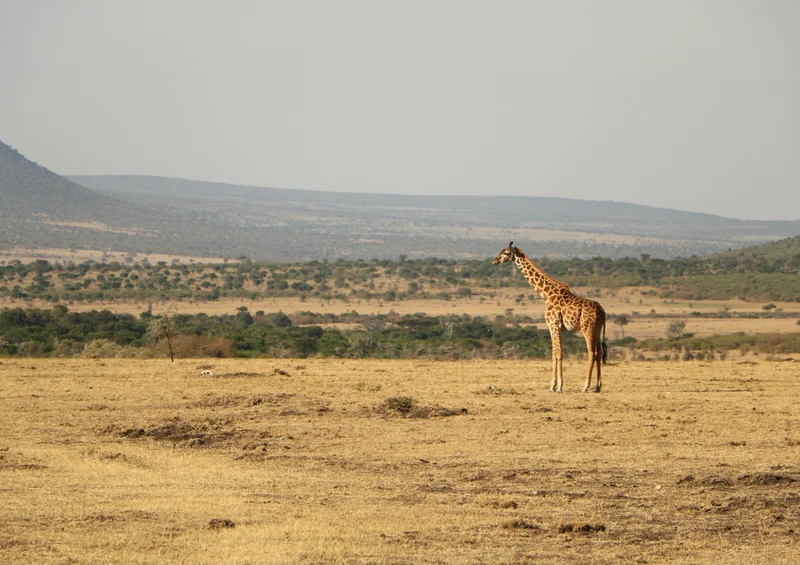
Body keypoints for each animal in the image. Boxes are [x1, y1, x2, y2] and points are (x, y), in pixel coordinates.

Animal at [493, 242, 607, 393]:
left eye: (506, 253)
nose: (494, 261)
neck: (546, 295)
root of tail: (603, 311)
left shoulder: (553, 325)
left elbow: (558, 353)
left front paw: (558, 386)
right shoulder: (555, 327)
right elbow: (555, 353)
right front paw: (553, 386)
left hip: (587, 329)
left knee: (592, 353)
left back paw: (586, 386)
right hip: (597, 330)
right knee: (599, 352)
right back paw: (597, 386)